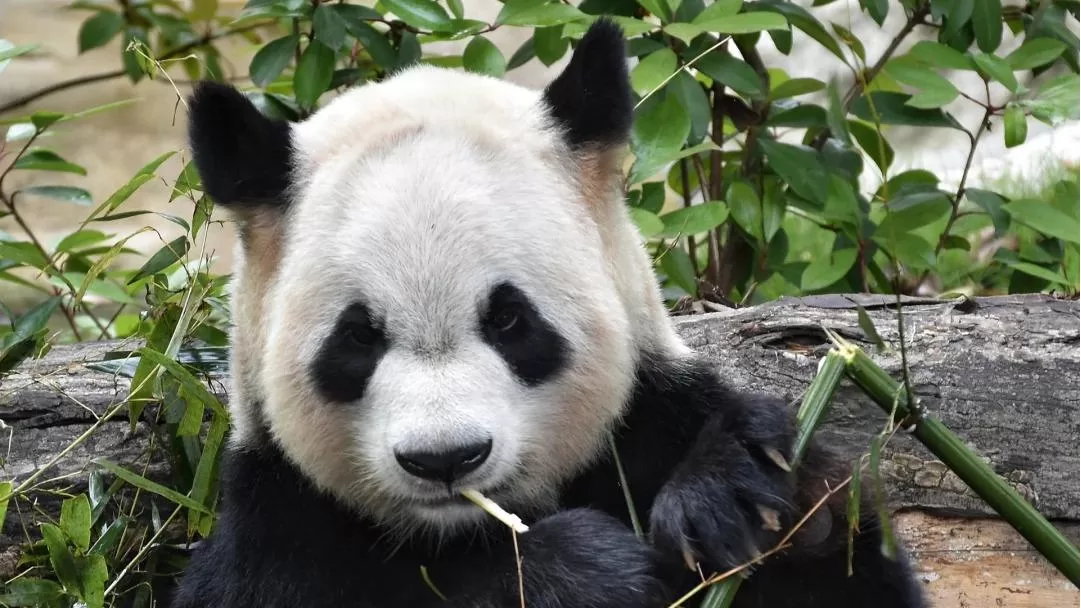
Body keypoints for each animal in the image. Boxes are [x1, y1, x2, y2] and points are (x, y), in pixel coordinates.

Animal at [172, 18, 927, 608]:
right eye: (358, 336)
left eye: (508, 321)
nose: (445, 459)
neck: (464, 530)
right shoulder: (277, 529)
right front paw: (584, 572)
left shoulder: (646, 416)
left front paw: (740, 495)